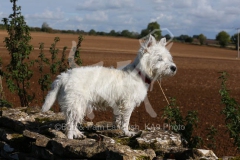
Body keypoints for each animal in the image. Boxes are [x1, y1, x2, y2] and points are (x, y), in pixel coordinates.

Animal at [41, 34, 176, 139]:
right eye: (159, 58)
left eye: (169, 58)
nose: (174, 68)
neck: (139, 73)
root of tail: (64, 76)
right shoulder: (128, 104)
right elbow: (126, 120)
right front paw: (127, 132)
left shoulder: (119, 104)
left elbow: (117, 119)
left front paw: (117, 129)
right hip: (76, 104)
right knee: (69, 124)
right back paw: (70, 138)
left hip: (78, 105)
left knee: (72, 122)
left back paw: (78, 134)